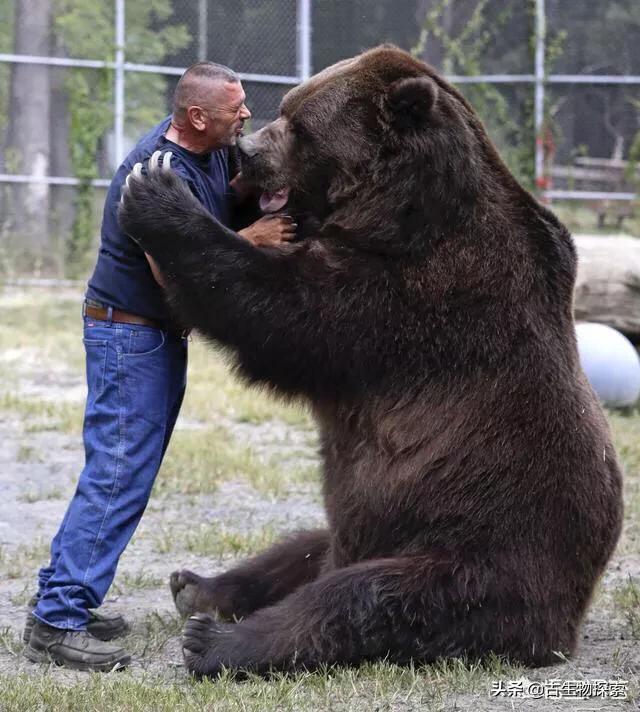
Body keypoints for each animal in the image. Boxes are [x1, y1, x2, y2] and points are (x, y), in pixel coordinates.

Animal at [118, 45, 623, 678]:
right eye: (285, 109)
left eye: (300, 126)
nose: (247, 151)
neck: (400, 211)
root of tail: (573, 614)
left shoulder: (419, 293)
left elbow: (285, 312)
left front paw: (158, 194)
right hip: (363, 537)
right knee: (303, 546)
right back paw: (200, 586)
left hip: (478, 551)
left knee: (366, 599)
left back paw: (215, 641)